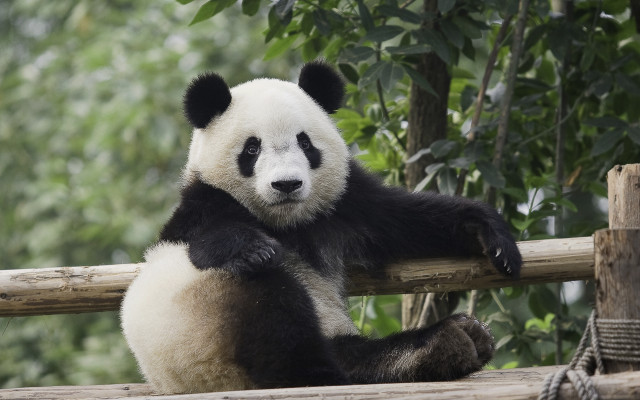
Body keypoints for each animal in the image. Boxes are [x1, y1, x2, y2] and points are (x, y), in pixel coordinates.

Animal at [120, 61, 522, 395]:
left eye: (304, 142)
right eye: (252, 149)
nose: (287, 184)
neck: (286, 223)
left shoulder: (345, 203)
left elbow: (407, 220)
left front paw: (493, 238)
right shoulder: (203, 205)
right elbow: (208, 241)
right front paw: (256, 249)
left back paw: (449, 343)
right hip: (207, 327)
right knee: (278, 322)